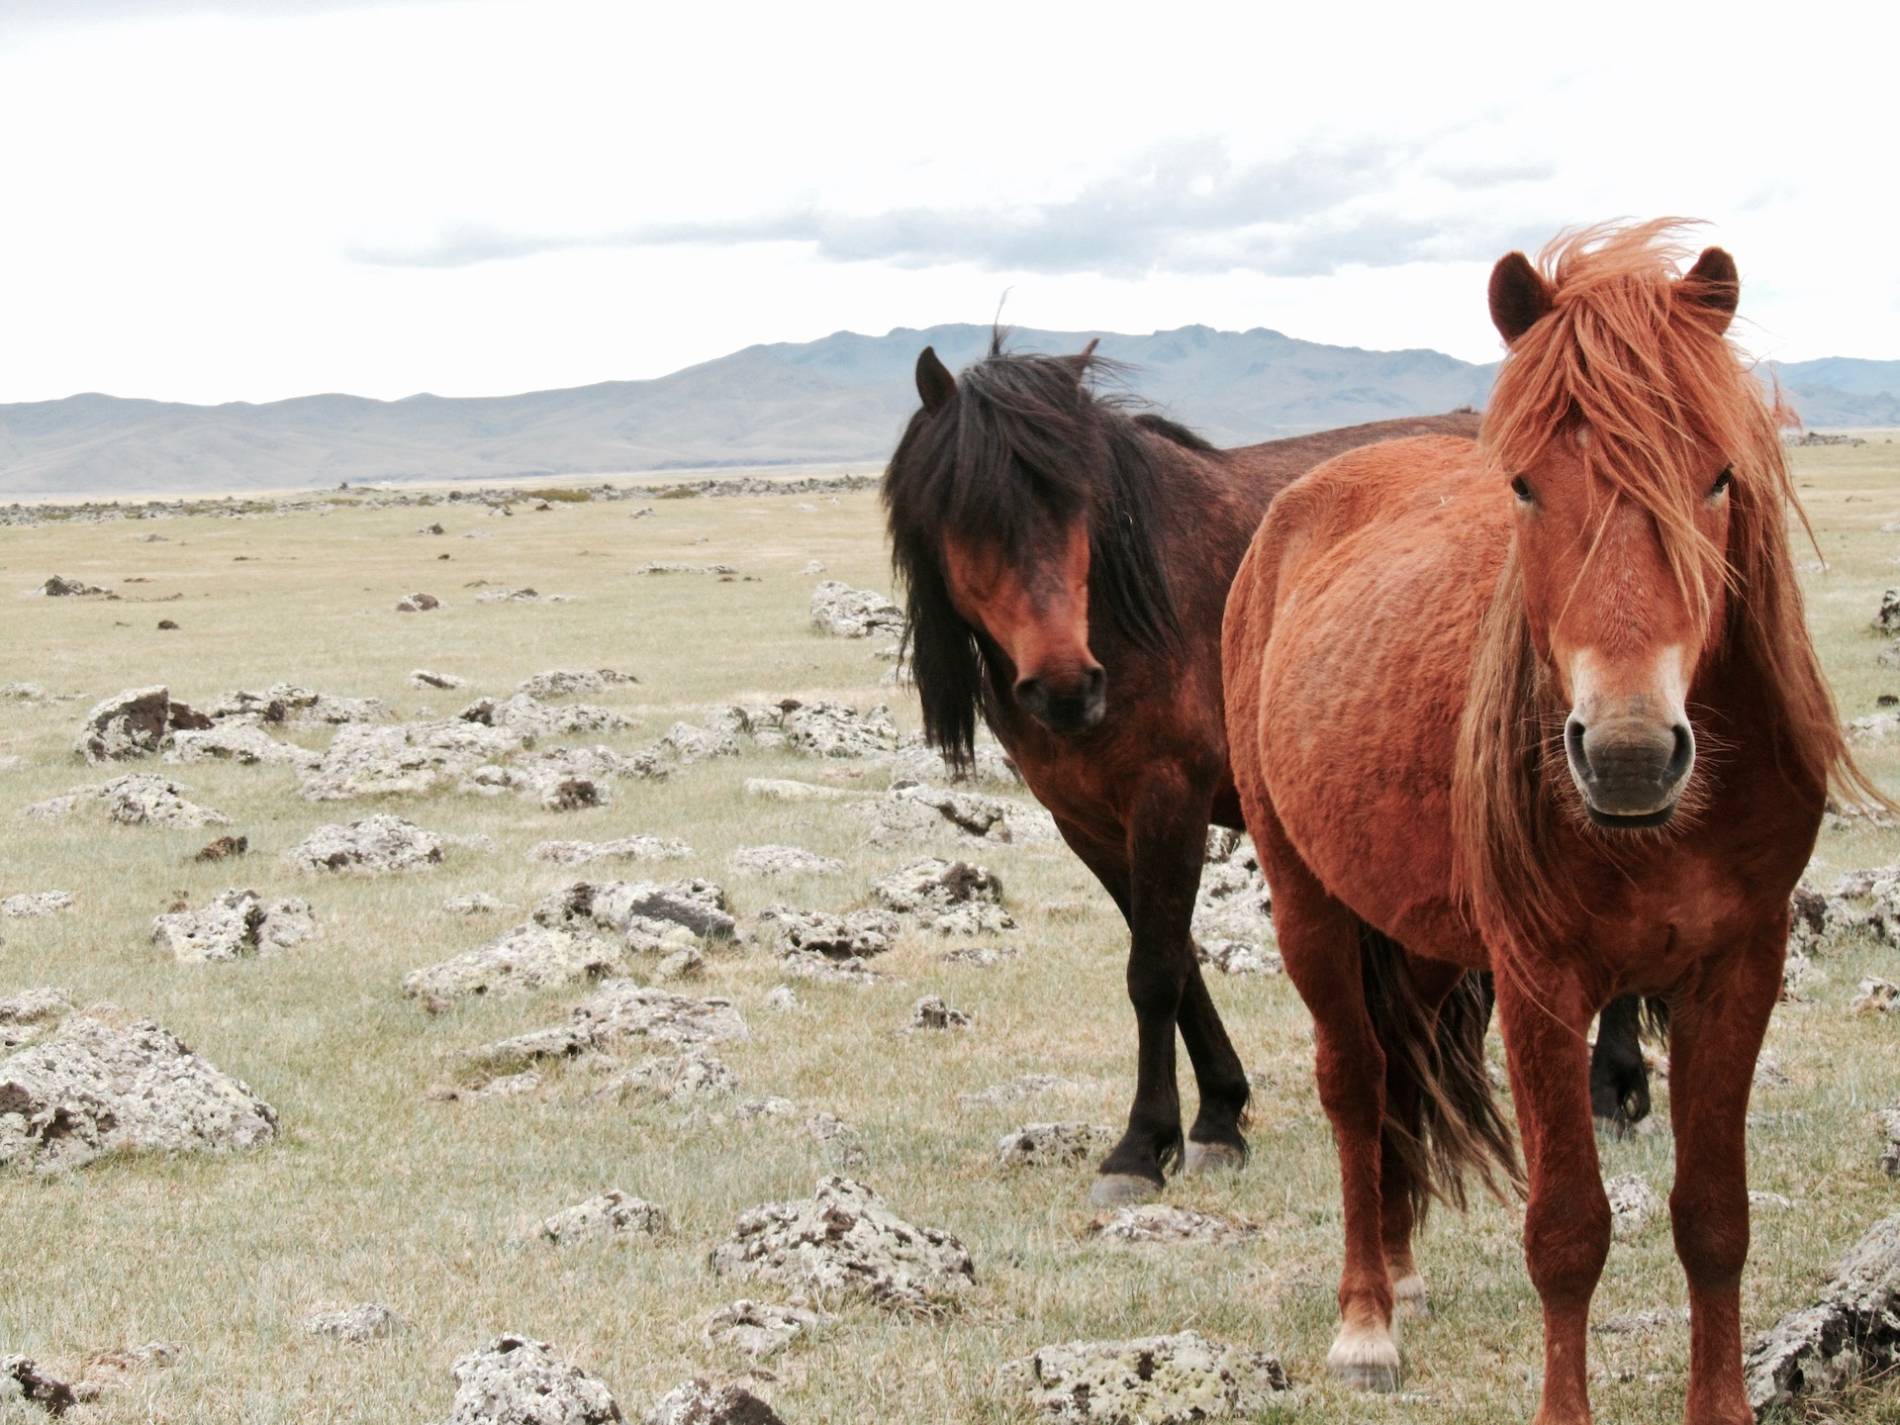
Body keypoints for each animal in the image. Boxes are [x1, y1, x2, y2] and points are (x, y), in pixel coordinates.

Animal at [881, 338, 1489, 1208]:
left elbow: (1155, 972)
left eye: (1078, 504)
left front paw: (1139, 1147)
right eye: (969, 509)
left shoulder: (1169, 799)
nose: (1067, 687)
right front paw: (1216, 1119)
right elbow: (1174, 955)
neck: (1128, 608)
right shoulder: (1092, 822)